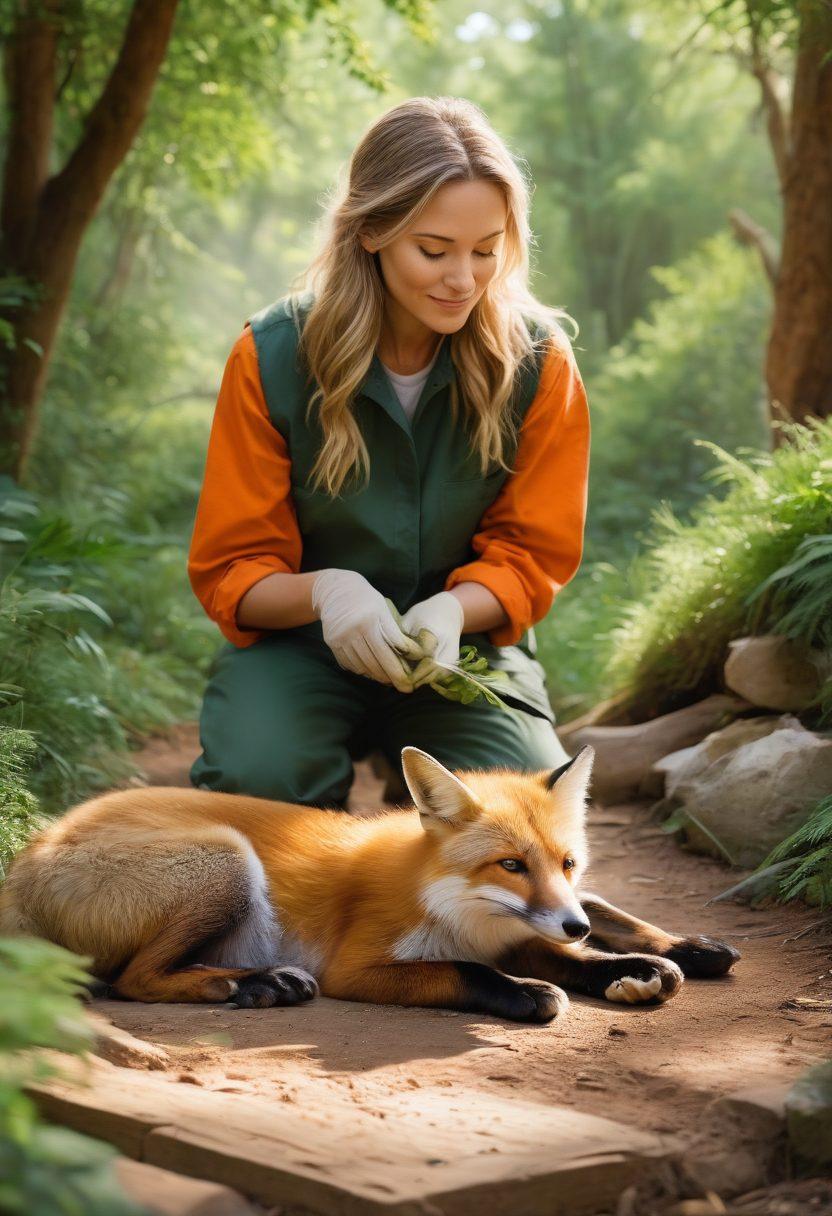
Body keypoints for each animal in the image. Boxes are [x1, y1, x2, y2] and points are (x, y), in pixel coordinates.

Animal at [0, 744, 738, 1022]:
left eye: (567, 863)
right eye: (510, 865)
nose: (574, 925)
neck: (454, 905)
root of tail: (32, 847)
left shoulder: (525, 928)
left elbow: (580, 944)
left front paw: (647, 961)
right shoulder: (359, 966)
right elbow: (468, 972)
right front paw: (528, 993)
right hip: (226, 862)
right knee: (134, 980)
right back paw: (252, 984)